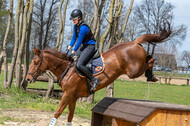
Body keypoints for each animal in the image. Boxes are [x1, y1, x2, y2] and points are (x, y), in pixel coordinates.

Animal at [25, 27, 171, 125]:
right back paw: (151, 75)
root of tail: (135, 41)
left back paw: (151, 76)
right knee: (150, 57)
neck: (67, 69)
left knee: (151, 60)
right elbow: (70, 116)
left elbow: (57, 112)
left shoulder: (67, 95)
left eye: (36, 63)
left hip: (133, 71)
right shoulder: (72, 97)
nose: (27, 78)